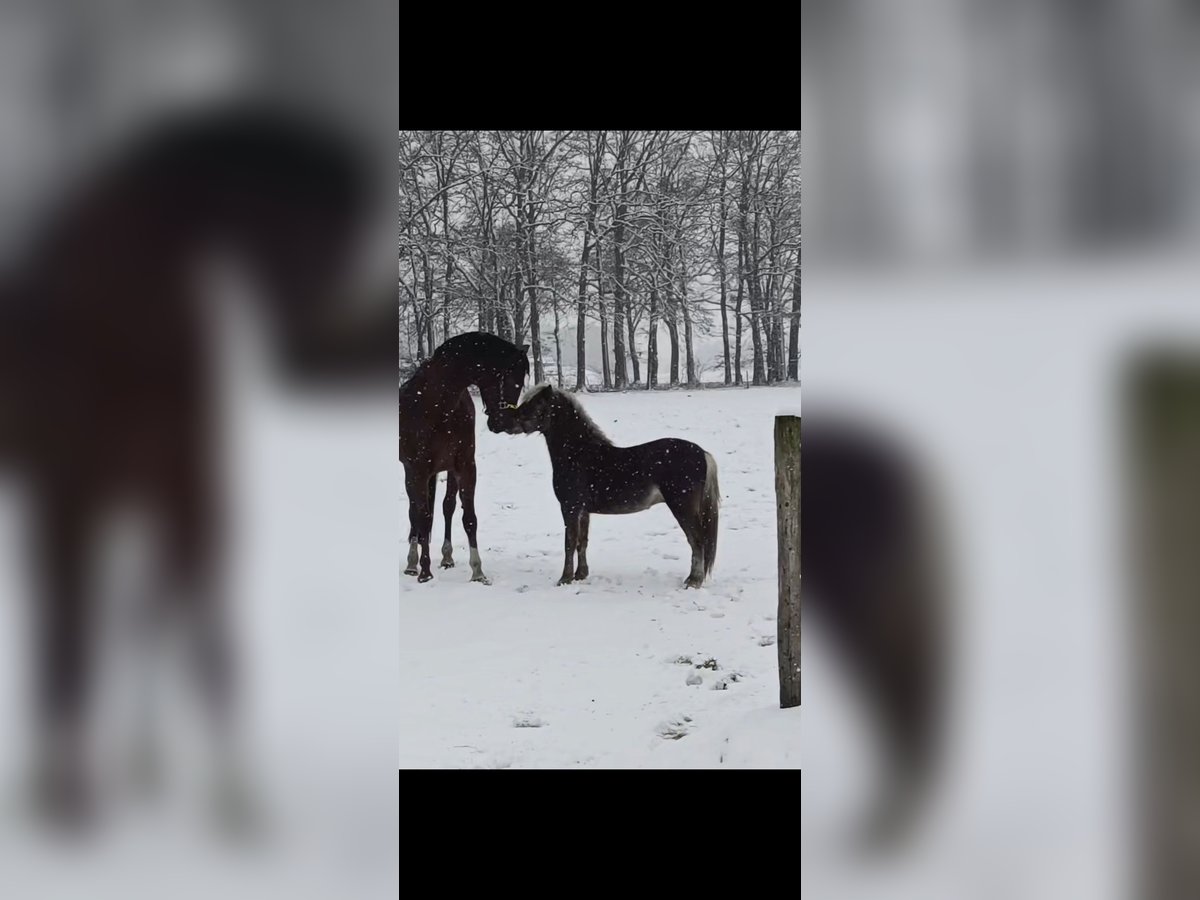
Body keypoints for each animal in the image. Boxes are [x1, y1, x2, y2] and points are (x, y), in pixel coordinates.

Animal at [0, 102, 388, 829]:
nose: (347, 351)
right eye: (320, 224)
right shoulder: (71, 499)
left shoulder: (184, 497)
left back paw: (141, 763)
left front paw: (241, 805)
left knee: (143, 617)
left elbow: (211, 643)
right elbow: (71, 644)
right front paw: (68, 803)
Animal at [399, 332, 530, 585]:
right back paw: (412, 563)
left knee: (445, 507)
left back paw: (446, 557)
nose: (505, 423)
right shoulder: (418, 470)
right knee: (414, 513)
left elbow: (468, 518)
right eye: (509, 379)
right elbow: (422, 516)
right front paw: (425, 572)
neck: (437, 404)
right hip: (412, 473)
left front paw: (477, 571)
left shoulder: (466, 466)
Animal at [505, 383, 720, 588]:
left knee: (697, 540)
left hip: (682, 507)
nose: (506, 422)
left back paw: (694, 581)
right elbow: (582, 542)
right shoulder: (583, 511)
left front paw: (564, 579)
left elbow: (569, 542)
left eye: (536, 404)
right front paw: (581, 575)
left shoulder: (570, 508)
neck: (578, 454)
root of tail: (703, 454)